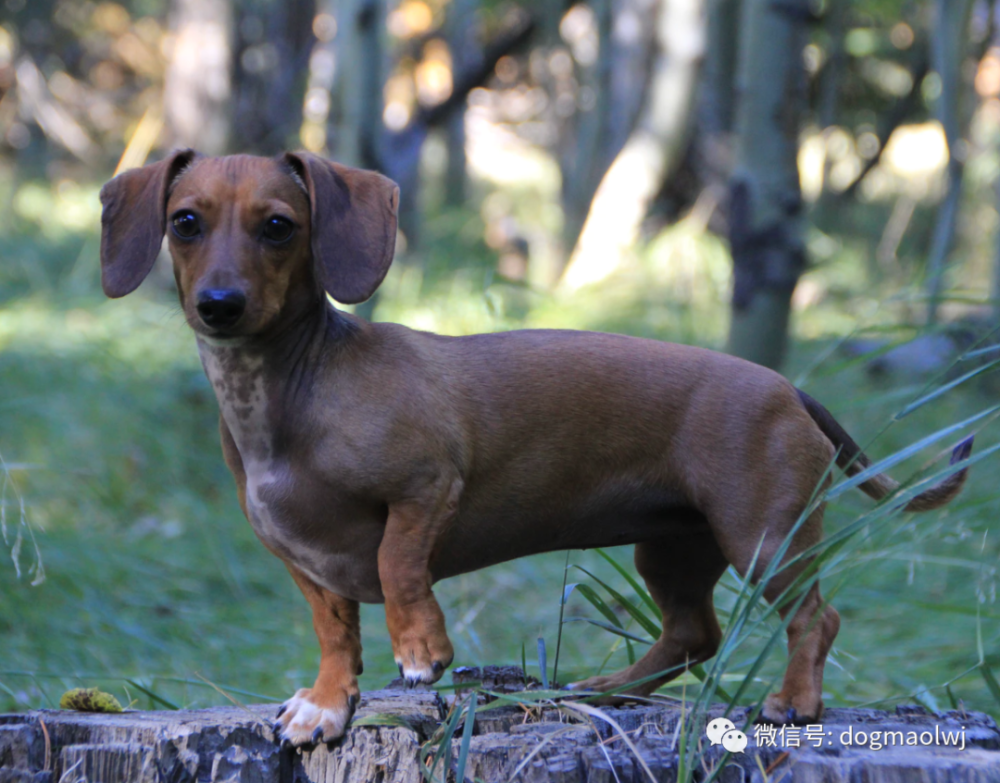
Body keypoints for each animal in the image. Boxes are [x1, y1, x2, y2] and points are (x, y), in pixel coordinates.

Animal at [99, 153, 968, 748]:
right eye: (185, 221)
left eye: (278, 224)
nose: (218, 305)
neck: (290, 389)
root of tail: (786, 385)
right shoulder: (303, 561)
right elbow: (333, 629)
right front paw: (325, 701)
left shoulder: (428, 487)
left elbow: (398, 566)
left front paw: (422, 650)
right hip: (673, 547)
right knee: (695, 633)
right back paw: (612, 688)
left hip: (765, 534)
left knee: (815, 618)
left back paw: (794, 702)